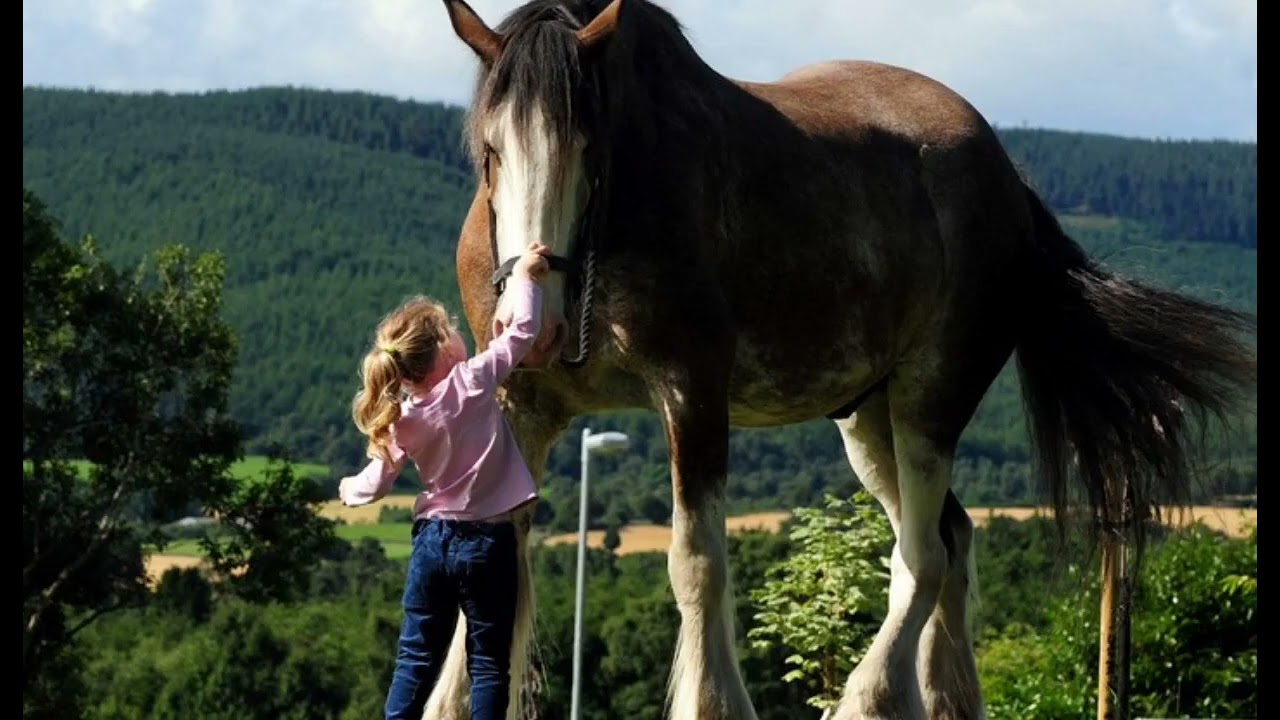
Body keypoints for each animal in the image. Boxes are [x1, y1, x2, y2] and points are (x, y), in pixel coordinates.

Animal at [422, 2, 1259, 712]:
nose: (536, 322)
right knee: (951, 542)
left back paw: (870, 697)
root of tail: (1009, 182)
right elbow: (493, 555)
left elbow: (698, 565)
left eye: (592, 151)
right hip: (867, 422)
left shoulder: (693, 397)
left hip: (929, 406)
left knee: (922, 556)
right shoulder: (523, 411)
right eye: (490, 152)